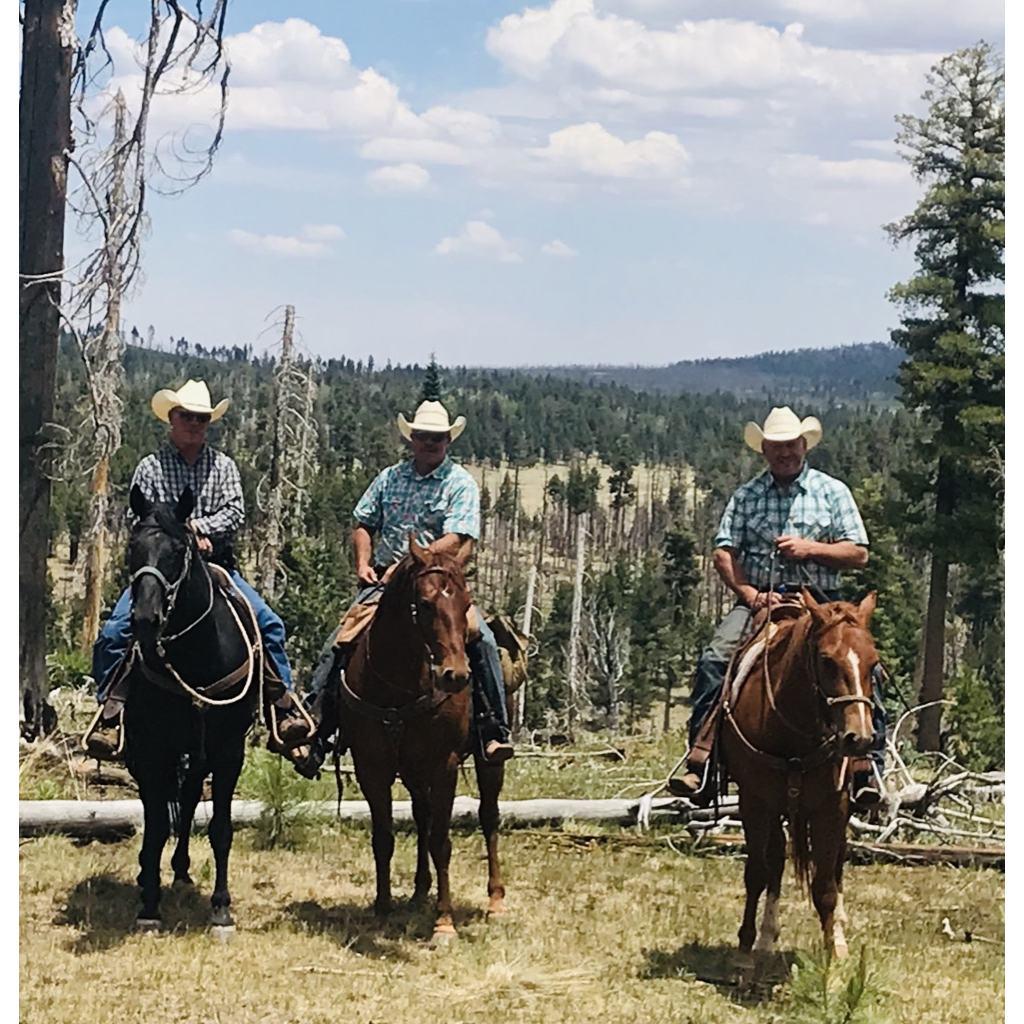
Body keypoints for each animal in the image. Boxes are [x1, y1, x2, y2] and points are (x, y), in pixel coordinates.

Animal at [123, 483, 260, 933]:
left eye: (179, 549)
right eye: (133, 546)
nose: (145, 620)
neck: (196, 658)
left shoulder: (229, 750)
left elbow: (220, 827)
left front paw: (221, 908)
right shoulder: (153, 750)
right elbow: (154, 828)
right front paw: (149, 906)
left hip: (199, 755)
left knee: (186, 802)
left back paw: (182, 870)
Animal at [339, 540, 507, 937]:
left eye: (466, 603)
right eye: (425, 603)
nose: (455, 676)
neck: (397, 686)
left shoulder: (444, 764)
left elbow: (441, 840)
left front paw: (444, 922)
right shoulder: (372, 767)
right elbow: (384, 837)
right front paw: (382, 907)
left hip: (489, 762)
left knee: (489, 817)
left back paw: (495, 900)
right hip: (414, 772)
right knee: (422, 815)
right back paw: (418, 892)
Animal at [720, 589, 880, 978]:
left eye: (874, 663)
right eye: (826, 661)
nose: (859, 738)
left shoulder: (831, 806)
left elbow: (825, 886)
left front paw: (833, 958)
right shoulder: (754, 802)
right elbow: (757, 872)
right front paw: (744, 950)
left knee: (835, 865)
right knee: (776, 861)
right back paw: (766, 937)